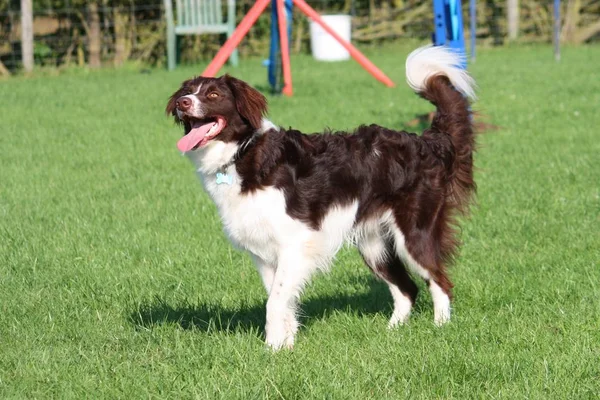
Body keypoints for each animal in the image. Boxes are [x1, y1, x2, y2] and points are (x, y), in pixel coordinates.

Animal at [165, 45, 478, 348]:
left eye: (213, 94)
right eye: (186, 92)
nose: (182, 103)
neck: (242, 152)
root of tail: (427, 141)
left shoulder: (294, 243)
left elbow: (275, 302)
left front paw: (272, 349)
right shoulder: (264, 251)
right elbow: (279, 298)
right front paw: (287, 343)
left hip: (413, 234)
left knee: (439, 280)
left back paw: (440, 327)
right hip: (373, 244)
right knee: (407, 289)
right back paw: (392, 332)